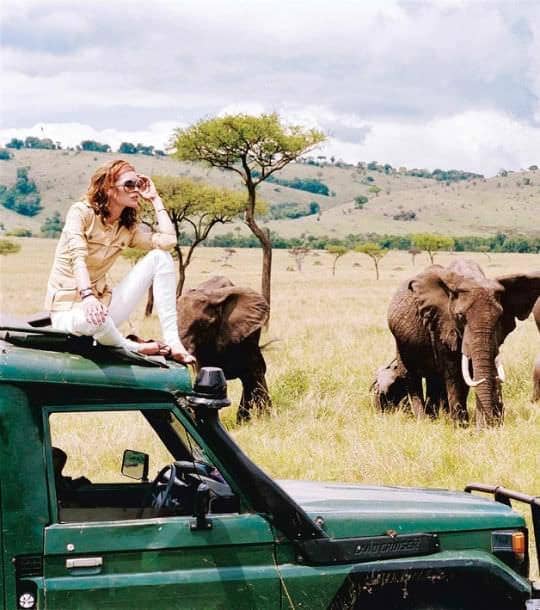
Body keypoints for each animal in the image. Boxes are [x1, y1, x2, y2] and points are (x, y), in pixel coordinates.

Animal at [374, 259, 540, 427]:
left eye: (499, 317)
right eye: (460, 316)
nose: (492, 424)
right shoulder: (441, 324)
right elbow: (455, 373)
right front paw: (461, 427)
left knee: (434, 378)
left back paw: (435, 417)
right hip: (401, 342)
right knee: (411, 376)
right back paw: (424, 420)